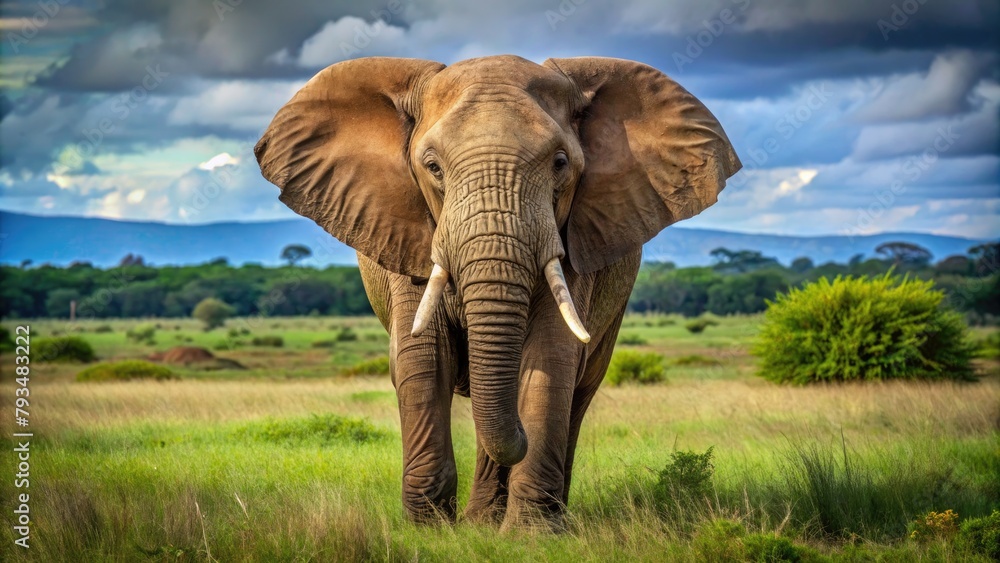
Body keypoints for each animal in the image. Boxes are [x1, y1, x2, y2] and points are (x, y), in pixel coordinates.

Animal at [255, 55, 740, 531]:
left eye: (560, 163)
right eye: (432, 167)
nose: (520, 436)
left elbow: (550, 357)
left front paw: (532, 534)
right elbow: (424, 357)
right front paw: (428, 527)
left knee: (578, 391)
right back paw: (483, 519)